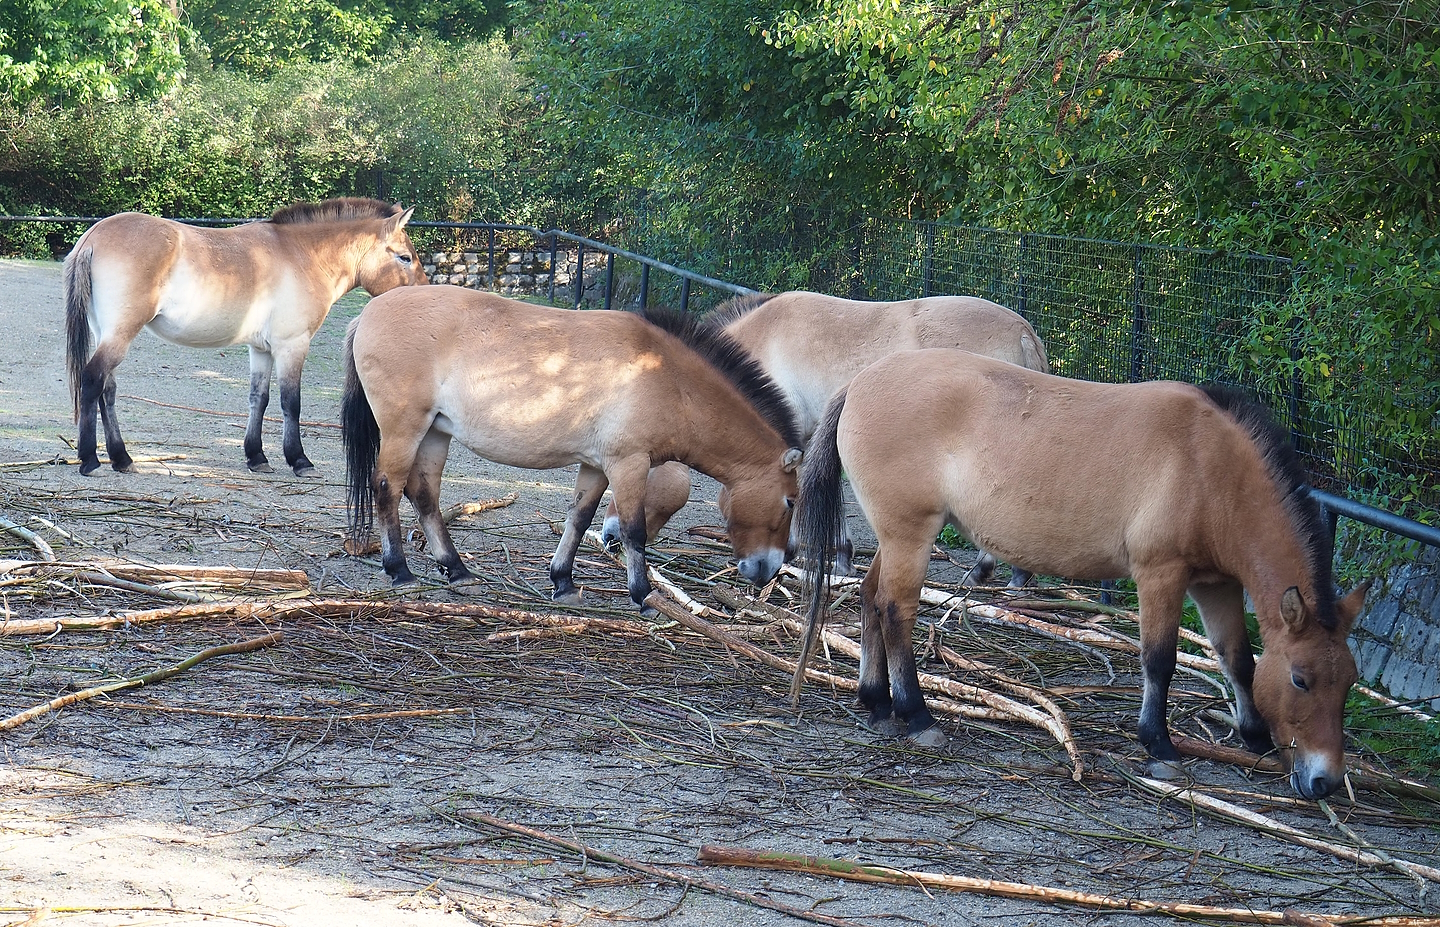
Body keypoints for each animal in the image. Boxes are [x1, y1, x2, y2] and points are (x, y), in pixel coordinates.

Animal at [64, 198, 426, 477]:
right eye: (405, 257)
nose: (423, 295)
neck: (301, 255)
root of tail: (94, 236)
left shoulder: (261, 349)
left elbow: (259, 399)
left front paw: (257, 457)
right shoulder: (292, 345)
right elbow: (291, 402)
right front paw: (299, 460)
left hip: (107, 333)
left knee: (108, 390)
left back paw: (121, 458)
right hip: (120, 334)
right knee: (93, 379)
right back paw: (90, 460)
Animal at [340, 287, 804, 612]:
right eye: (790, 501)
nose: (769, 570)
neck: (667, 378)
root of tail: (368, 312)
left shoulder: (596, 466)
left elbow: (579, 519)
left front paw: (562, 581)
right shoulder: (629, 464)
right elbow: (634, 531)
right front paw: (643, 595)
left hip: (435, 432)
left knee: (424, 495)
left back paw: (457, 570)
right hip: (404, 430)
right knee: (387, 489)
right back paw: (400, 572)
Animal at [793, 348, 1369, 800]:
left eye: (1348, 681)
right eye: (1301, 679)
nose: (1323, 781)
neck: (1210, 467)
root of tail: (861, 381)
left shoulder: (1215, 584)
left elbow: (1238, 660)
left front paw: (1254, 736)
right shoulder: (1161, 575)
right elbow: (1159, 661)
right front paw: (1159, 744)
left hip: (896, 542)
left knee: (871, 600)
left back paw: (876, 703)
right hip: (909, 537)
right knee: (896, 613)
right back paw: (917, 715)